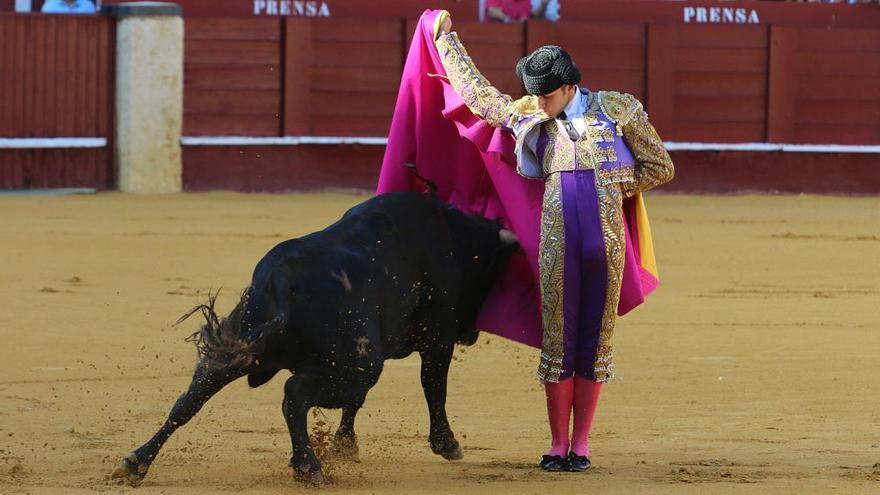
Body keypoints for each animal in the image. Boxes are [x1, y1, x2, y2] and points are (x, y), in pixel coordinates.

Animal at [111, 192, 524, 486]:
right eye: (492, 275)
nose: (471, 334)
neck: (454, 236)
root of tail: (281, 279)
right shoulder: (436, 336)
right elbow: (433, 385)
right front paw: (447, 444)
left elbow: (360, 403)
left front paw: (344, 445)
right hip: (359, 364)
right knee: (295, 394)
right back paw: (307, 465)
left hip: (239, 347)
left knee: (188, 401)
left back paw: (136, 462)